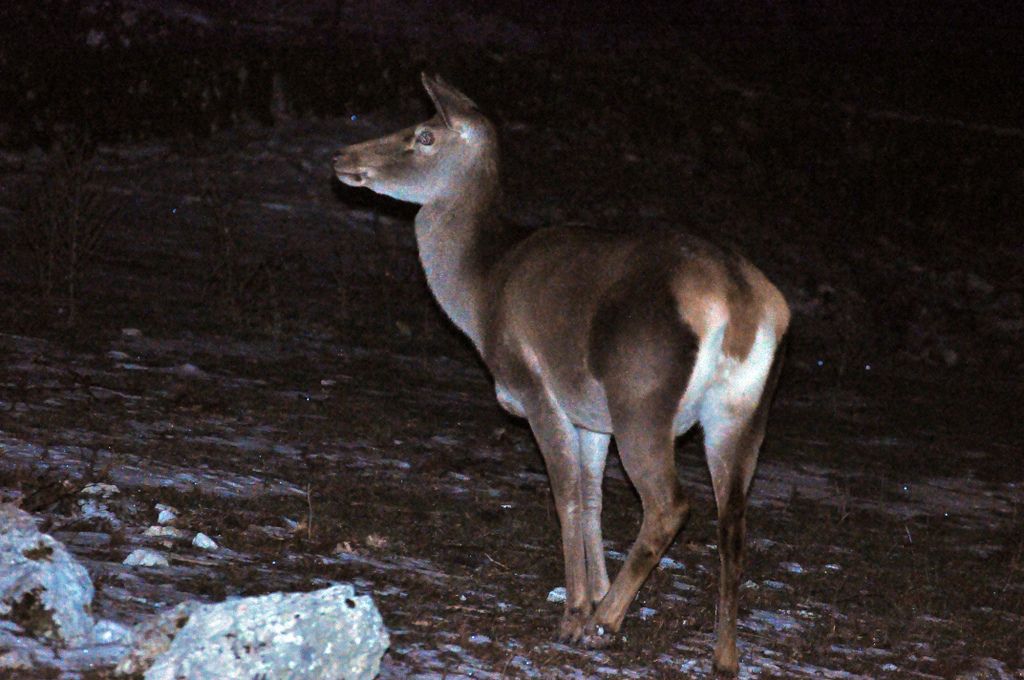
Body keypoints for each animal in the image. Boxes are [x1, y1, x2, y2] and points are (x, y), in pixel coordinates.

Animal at [332, 73, 790, 675]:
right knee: (733, 522)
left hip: (642, 394)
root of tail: (741, 303)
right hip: (743, 413)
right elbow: (593, 496)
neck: (480, 290)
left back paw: (605, 624)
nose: (342, 155)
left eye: (424, 134)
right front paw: (592, 593)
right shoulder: (590, 413)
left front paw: (576, 611)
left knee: (669, 505)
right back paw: (723, 656)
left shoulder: (534, 384)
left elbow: (566, 494)